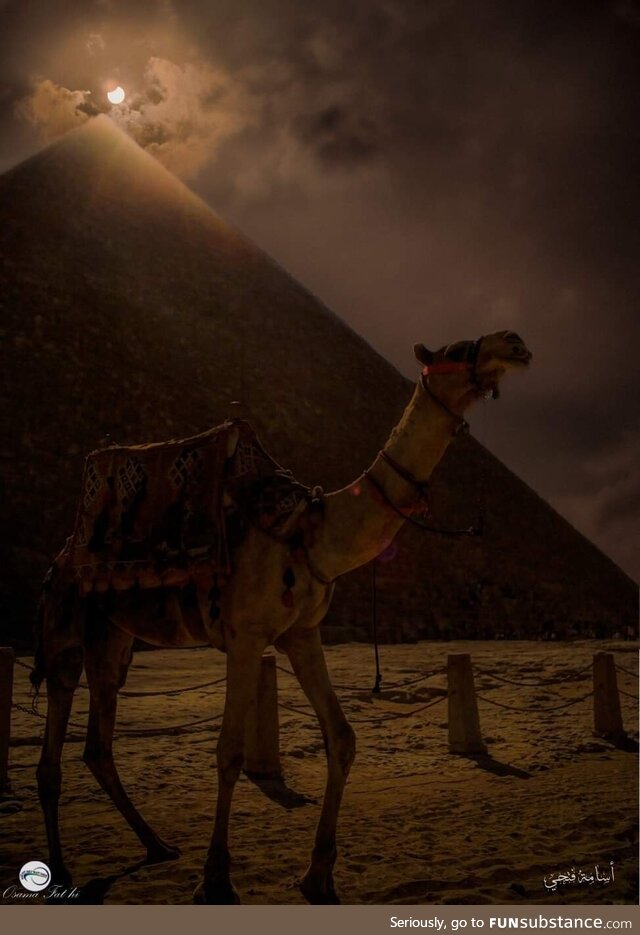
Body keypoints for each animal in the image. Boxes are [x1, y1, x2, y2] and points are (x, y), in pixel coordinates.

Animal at [30, 330, 528, 908]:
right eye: (457, 348)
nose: (514, 344)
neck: (312, 533)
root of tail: (62, 555)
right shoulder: (245, 638)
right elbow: (229, 752)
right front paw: (215, 879)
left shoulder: (302, 635)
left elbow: (342, 737)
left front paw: (319, 873)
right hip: (66, 629)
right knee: (54, 749)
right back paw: (61, 871)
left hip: (113, 639)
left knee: (97, 746)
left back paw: (157, 845)